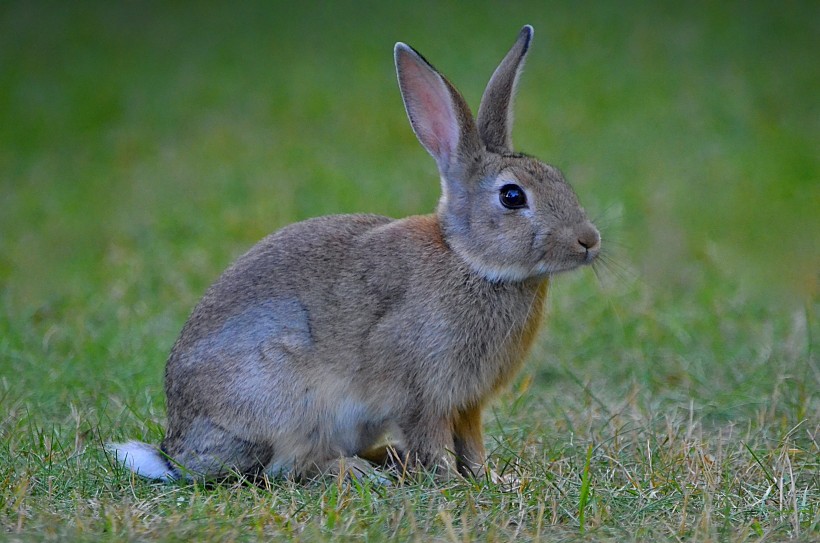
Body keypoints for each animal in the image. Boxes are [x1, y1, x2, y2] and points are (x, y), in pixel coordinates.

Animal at [109, 25, 600, 484]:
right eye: (512, 197)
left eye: (558, 177)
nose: (588, 241)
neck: (469, 260)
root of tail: (176, 454)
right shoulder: (421, 390)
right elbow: (433, 440)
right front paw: (448, 481)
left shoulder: (467, 403)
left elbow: (472, 444)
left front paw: (492, 479)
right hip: (290, 402)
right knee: (285, 469)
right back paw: (362, 472)